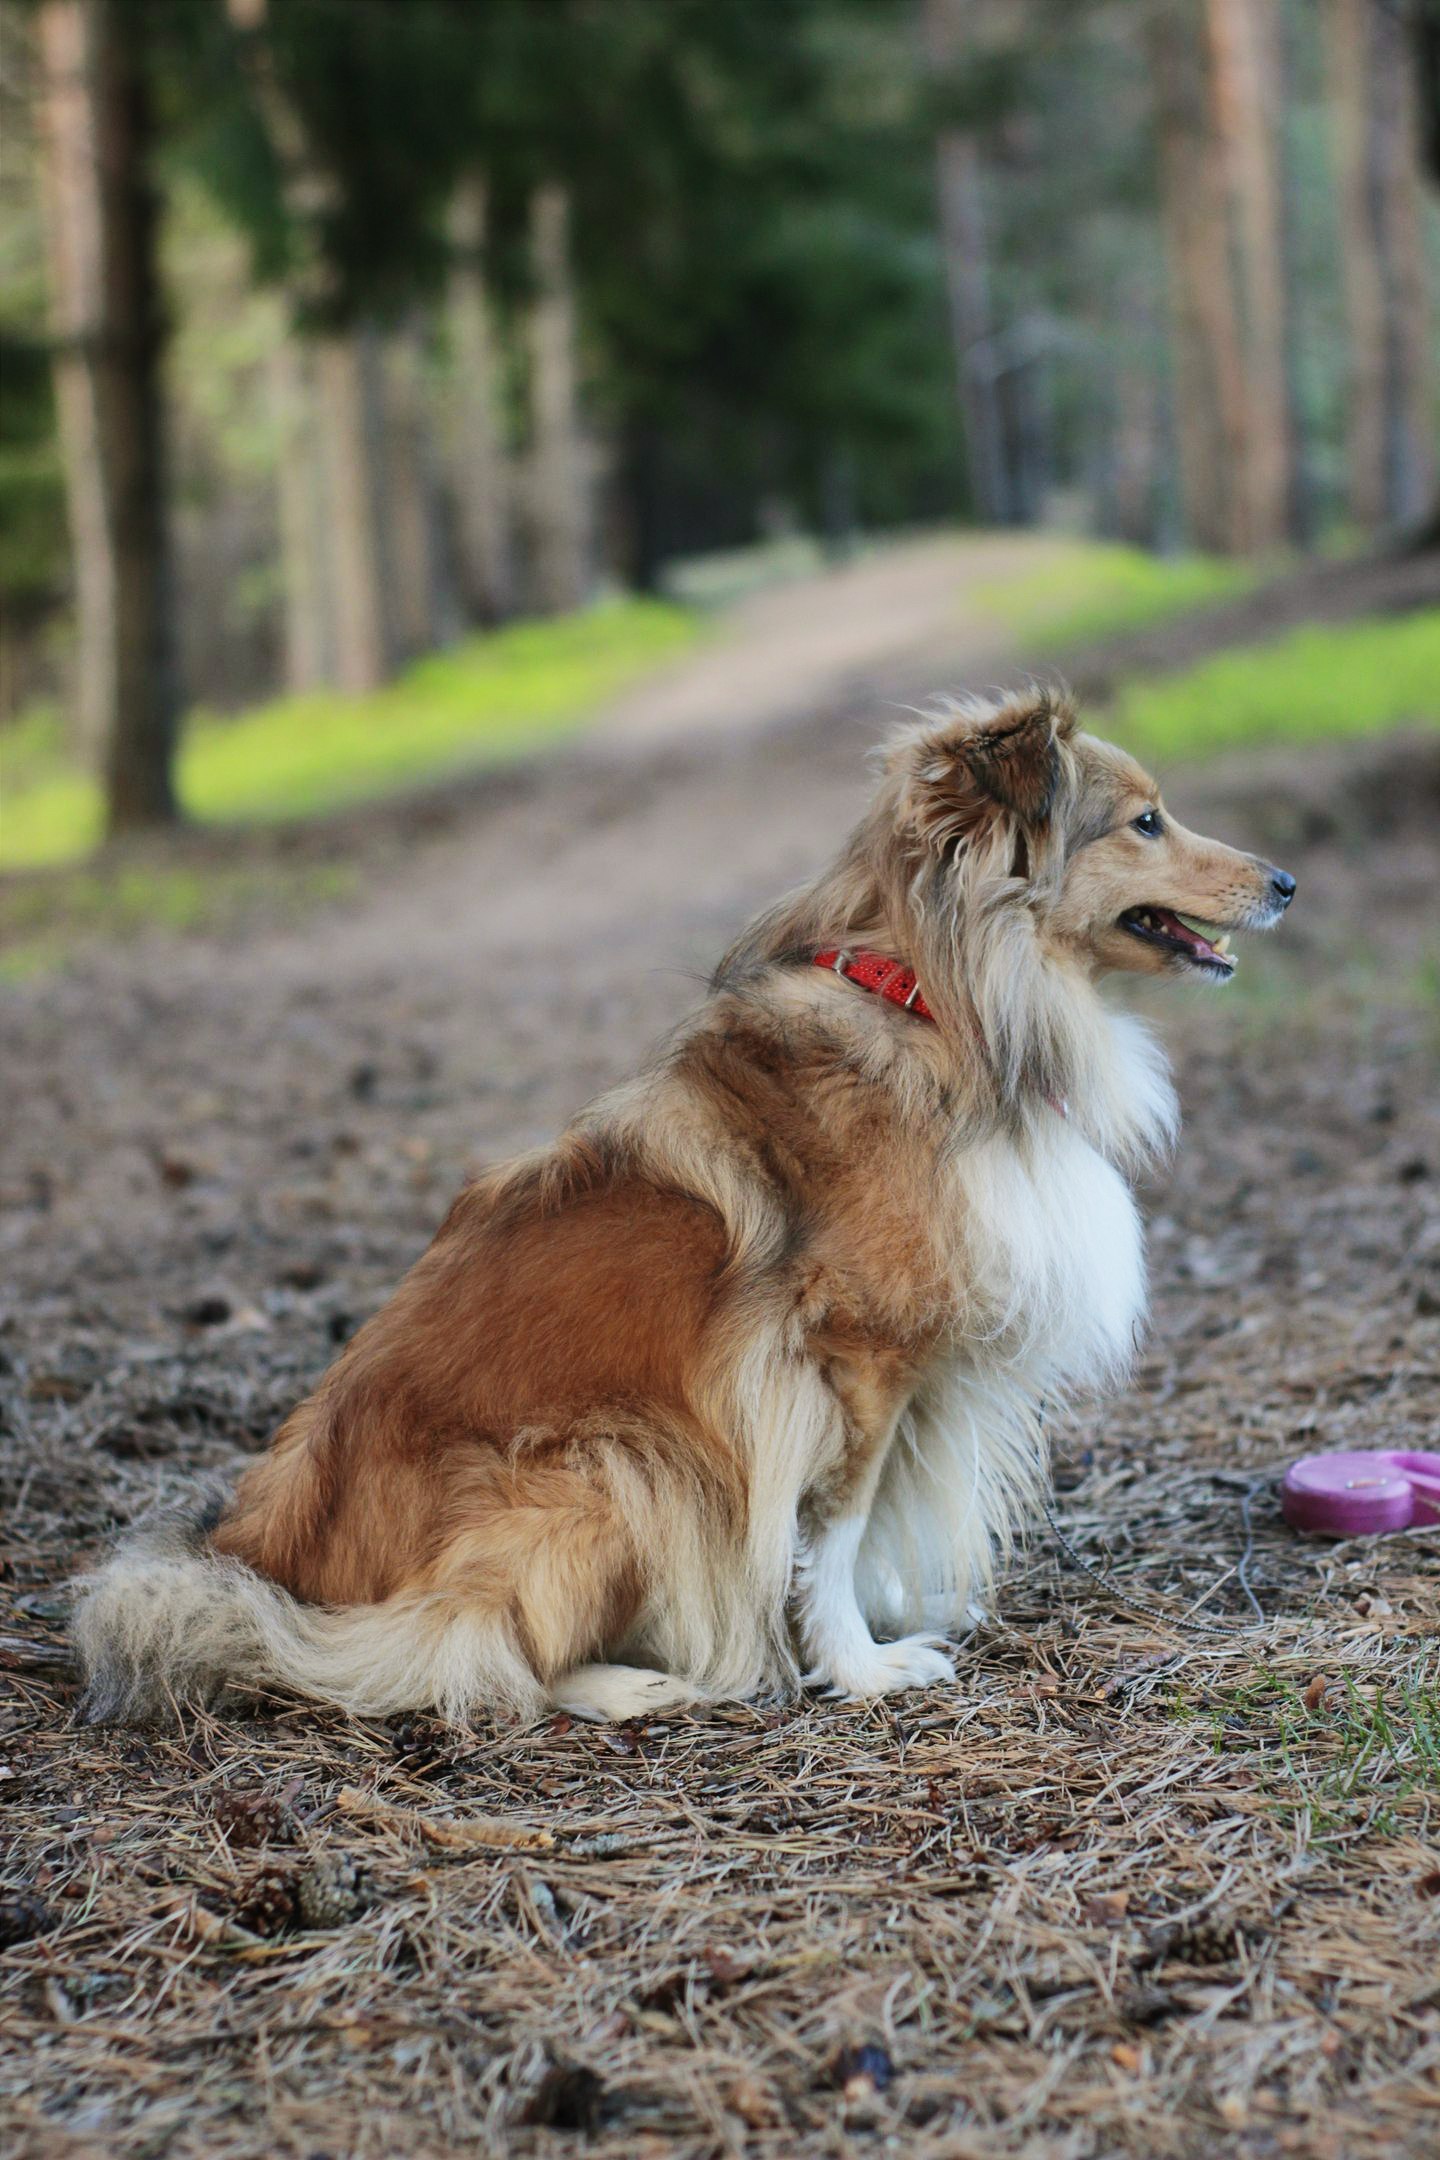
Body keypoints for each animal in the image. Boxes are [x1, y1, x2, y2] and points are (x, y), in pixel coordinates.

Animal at [73, 682, 1303, 1728]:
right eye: (1144, 822)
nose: (1288, 882)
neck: (933, 1001)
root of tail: (255, 1552)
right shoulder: (843, 1360)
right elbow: (834, 1526)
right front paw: (858, 1667)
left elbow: (871, 1522)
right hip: (620, 1467)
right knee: (463, 1652)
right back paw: (631, 1684)